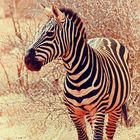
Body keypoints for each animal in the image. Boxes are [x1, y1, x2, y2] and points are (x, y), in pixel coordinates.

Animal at [24, 4, 131, 140]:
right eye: (38, 32)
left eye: (50, 33)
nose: (27, 60)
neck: (76, 76)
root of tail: (104, 38)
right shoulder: (74, 112)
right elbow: (83, 136)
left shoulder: (98, 109)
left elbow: (98, 136)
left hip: (115, 108)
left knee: (109, 132)